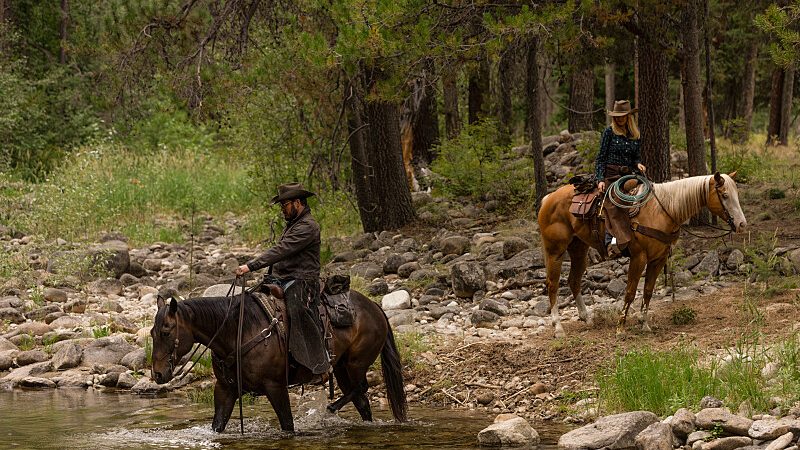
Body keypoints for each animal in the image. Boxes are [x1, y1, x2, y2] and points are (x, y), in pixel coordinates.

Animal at [150, 290, 406, 434]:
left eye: (165, 331)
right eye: (152, 333)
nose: (158, 374)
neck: (237, 333)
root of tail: (375, 307)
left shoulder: (275, 386)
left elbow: (287, 425)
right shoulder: (225, 389)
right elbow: (218, 425)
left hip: (355, 364)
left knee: (361, 387)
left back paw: (329, 409)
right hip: (342, 368)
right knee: (362, 400)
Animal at [540, 172, 748, 338]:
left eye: (736, 195)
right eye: (724, 195)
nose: (742, 225)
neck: (662, 211)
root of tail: (548, 198)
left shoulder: (658, 259)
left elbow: (648, 291)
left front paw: (644, 323)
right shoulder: (639, 257)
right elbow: (630, 292)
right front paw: (620, 328)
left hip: (579, 249)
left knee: (574, 281)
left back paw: (587, 318)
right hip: (555, 251)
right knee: (553, 284)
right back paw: (558, 328)